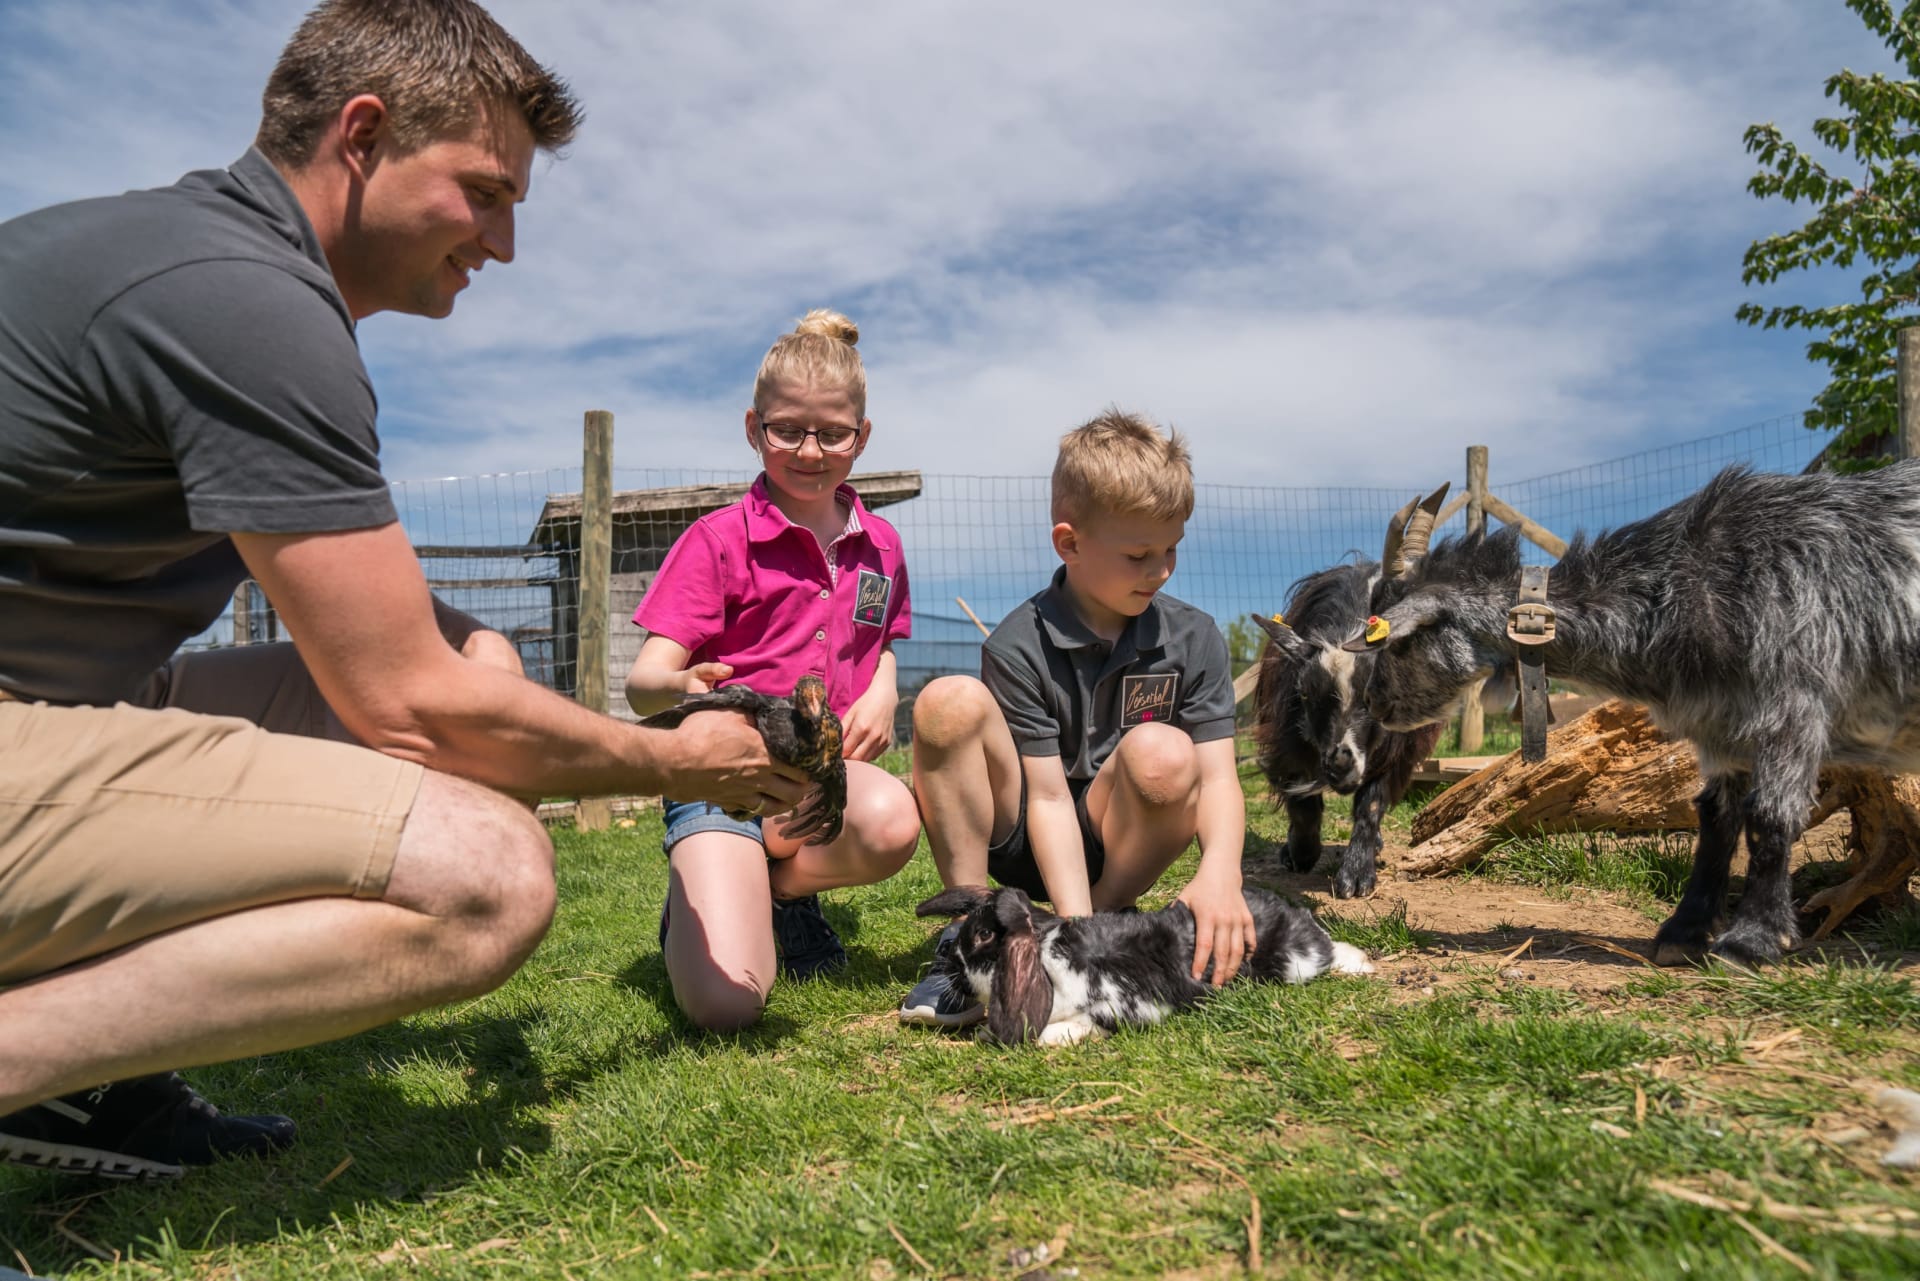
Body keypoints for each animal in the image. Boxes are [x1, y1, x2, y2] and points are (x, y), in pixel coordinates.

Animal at [1249, 561, 1442, 898]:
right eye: (1305, 694)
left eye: (1378, 695)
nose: (1340, 766)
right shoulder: (1285, 741)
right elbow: (1302, 805)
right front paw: (1302, 853)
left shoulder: (1398, 752)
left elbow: (1371, 805)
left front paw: (1357, 875)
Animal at [1346, 462, 1920, 966]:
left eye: (1397, 643)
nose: (1373, 703)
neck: (1701, 585)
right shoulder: (1723, 724)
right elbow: (1715, 816)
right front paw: (1683, 933)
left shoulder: (1794, 703)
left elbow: (1769, 815)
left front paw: (1750, 941)